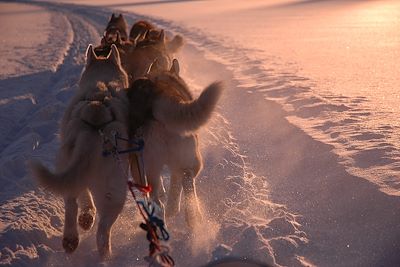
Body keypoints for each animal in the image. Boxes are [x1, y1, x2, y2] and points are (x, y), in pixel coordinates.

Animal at [30, 44, 130, 260]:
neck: (102, 84)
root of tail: (93, 128)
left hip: (74, 171)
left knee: (73, 204)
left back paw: (73, 237)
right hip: (115, 193)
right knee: (102, 229)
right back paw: (101, 254)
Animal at [126, 59, 223, 229]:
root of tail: (158, 96)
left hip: (151, 166)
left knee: (161, 200)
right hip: (187, 159)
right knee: (186, 182)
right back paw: (191, 218)